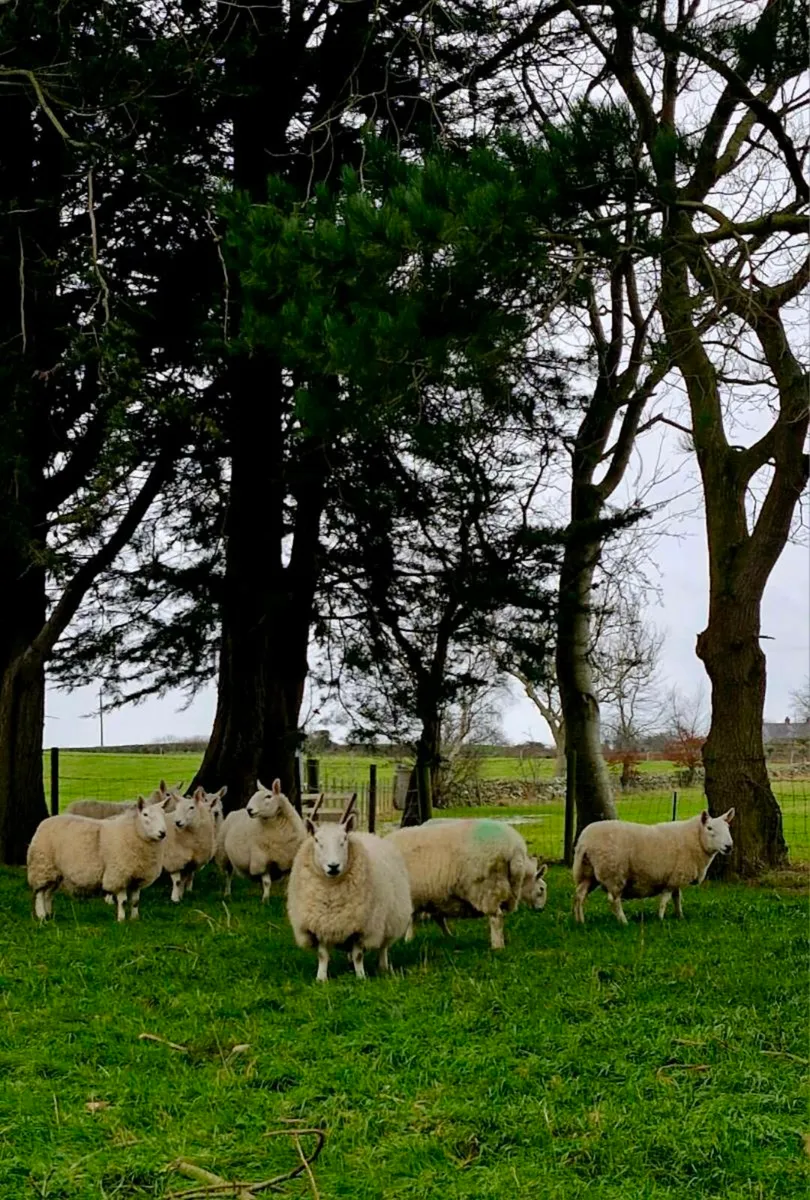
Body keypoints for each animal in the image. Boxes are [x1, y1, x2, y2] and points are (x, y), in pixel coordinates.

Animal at [27, 795, 169, 922]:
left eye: (164, 814)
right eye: (145, 814)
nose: (162, 833)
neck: (133, 832)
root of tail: (44, 823)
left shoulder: (137, 877)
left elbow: (135, 901)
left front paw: (135, 919)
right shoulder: (119, 875)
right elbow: (122, 901)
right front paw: (121, 920)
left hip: (54, 872)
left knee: (47, 893)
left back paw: (49, 914)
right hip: (42, 866)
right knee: (40, 893)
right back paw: (41, 916)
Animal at [287, 801, 412, 981]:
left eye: (344, 839)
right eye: (317, 840)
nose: (333, 866)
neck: (331, 890)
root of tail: (369, 834)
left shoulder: (362, 926)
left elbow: (358, 955)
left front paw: (361, 977)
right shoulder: (321, 925)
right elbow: (323, 955)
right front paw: (321, 978)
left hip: (388, 920)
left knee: (383, 946)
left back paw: (383, 967)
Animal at [387, 818, 547, 950]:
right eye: (542, 889)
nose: (541, 910)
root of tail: (515, 850)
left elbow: (414, 918)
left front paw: (408, 940)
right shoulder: (433, 896)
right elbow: (435, 918)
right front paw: (448, 937)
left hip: (488, 888)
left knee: (496, 917)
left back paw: (497, 946)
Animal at [572, 808, 735, 925]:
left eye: (728, 827)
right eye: (709, 828)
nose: (729, 847)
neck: (695, 839)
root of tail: (584, 841)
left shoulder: (675, 877)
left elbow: (677, 898)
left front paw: (680, 916)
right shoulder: (672, 880)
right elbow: (665, 900)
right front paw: (661, 918)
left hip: (587, 873)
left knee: (579, 895)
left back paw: (580, 921)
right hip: (614, 873)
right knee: (614, 900)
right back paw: (624, 922)